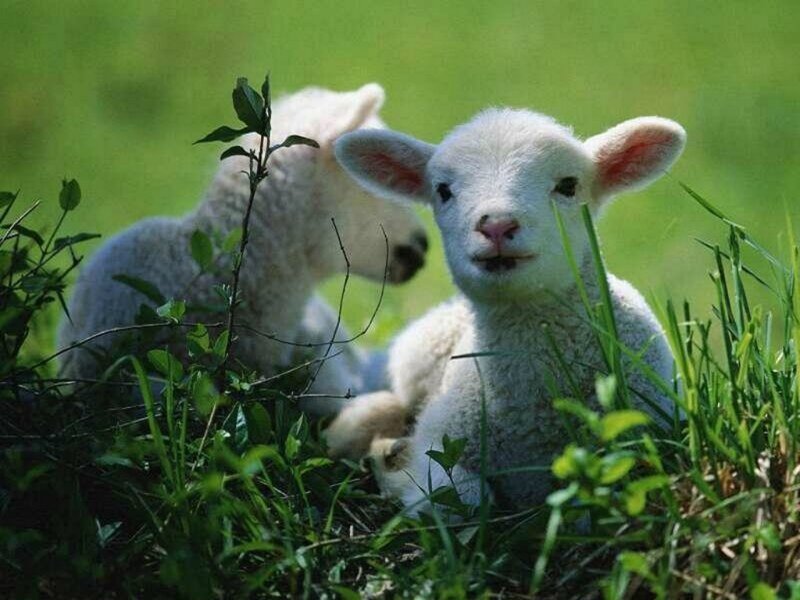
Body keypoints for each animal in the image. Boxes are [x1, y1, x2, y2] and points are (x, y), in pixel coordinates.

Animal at [326, 108, 686, 510]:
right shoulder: (440, 438)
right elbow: (463, 498)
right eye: (443, 190)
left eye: (568, 185)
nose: (497, 225)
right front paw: (397, 470)